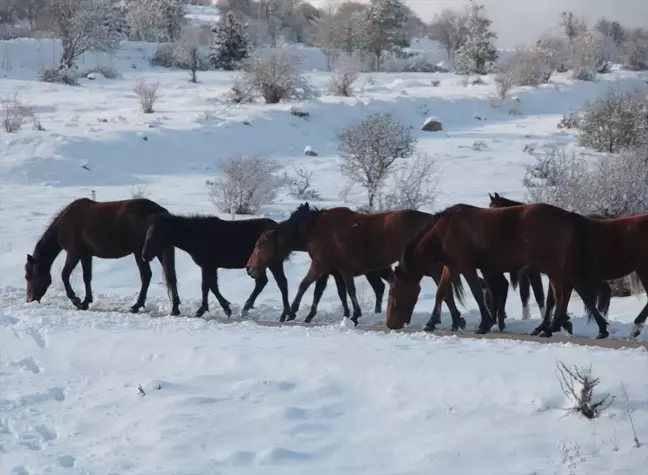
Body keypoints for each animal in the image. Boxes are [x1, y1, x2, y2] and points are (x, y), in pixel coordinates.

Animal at [25, 198, 181, 314]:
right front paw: (86, 301)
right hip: (159, 252)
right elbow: (87, 277)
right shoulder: (86, 255)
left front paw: (76, 300)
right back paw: (174, 308)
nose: (29, 300)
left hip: (140, 253)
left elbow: (65, 275)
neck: (64, 224)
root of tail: (160, 212)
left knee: (146, 276)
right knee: (171, 277)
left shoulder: (74, 253)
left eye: (28, 276)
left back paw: (137, 305)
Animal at [140, 214, 390, 322]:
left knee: (281, 284)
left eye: (156, 232)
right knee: (265, 283)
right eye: (148, 231)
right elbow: (209, 287)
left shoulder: (209, 265)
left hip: (273, 263)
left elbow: (208, 287)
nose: (144, 255)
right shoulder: (209, 266)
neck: (196, 235)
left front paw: (215, 309)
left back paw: (284, 312)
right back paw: (253, 307)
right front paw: (220, 308)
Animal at [244, 203, 466, 330]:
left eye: (259, 243)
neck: (314, 229)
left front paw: (292, 312)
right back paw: (454, 320)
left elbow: (304, 285)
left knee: (444, 289)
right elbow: (348, 291)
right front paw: (355, 315)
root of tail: (434, 221)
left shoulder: (320, 265)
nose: (249, 267)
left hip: (430, 266)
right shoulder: (342, 268)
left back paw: (451, 320)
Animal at [384, 203, 612, 340]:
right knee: (567, 293)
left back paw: (554, 326)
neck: (443, 232)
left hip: (553, 266)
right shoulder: (451, 266)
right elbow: (442, 292)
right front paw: (432, 322)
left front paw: (484, 323)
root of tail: (567, 216)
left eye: (393, 292)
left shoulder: (467, 266)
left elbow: (477, 293)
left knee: (563, 294)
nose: (390, 324)